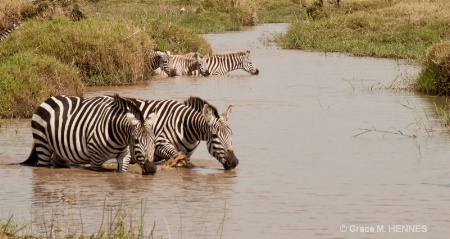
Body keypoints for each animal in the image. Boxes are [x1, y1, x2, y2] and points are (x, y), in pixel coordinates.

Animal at [22, 94, 161, 175]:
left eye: (154, 141)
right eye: (136, 141)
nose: (151, 169)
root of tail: (47, 100)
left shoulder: (124, 156)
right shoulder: (96, 159)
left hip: (59, 149)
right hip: (43, 144)